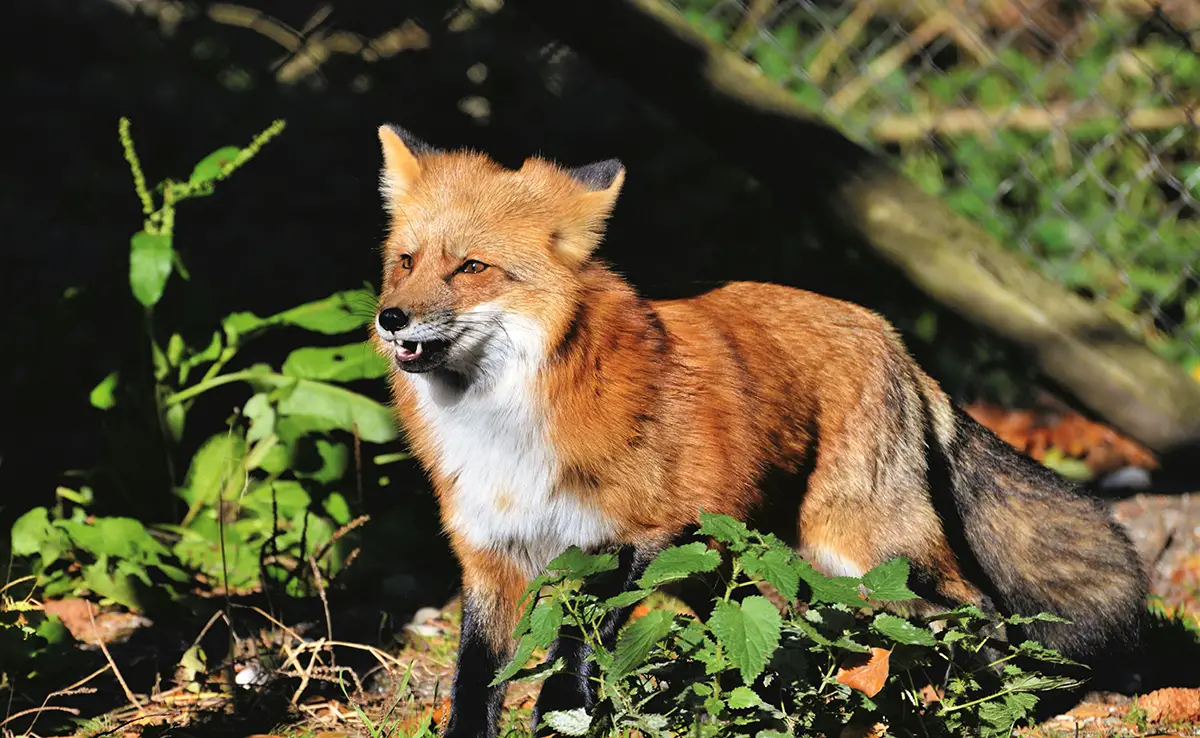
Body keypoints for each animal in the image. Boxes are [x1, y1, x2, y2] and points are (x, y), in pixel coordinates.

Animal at [369, 127, 1147, 738]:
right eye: (406, 261)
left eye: (472, 267)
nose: (390, 318)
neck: (505, 425)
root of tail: (888, 332)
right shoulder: (491, 559)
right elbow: (474, 688)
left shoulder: (633, 536)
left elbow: (573, 667)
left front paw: (566, 720)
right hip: (736, 566)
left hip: (864, 549)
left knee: (972, 612)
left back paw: (976, 706)